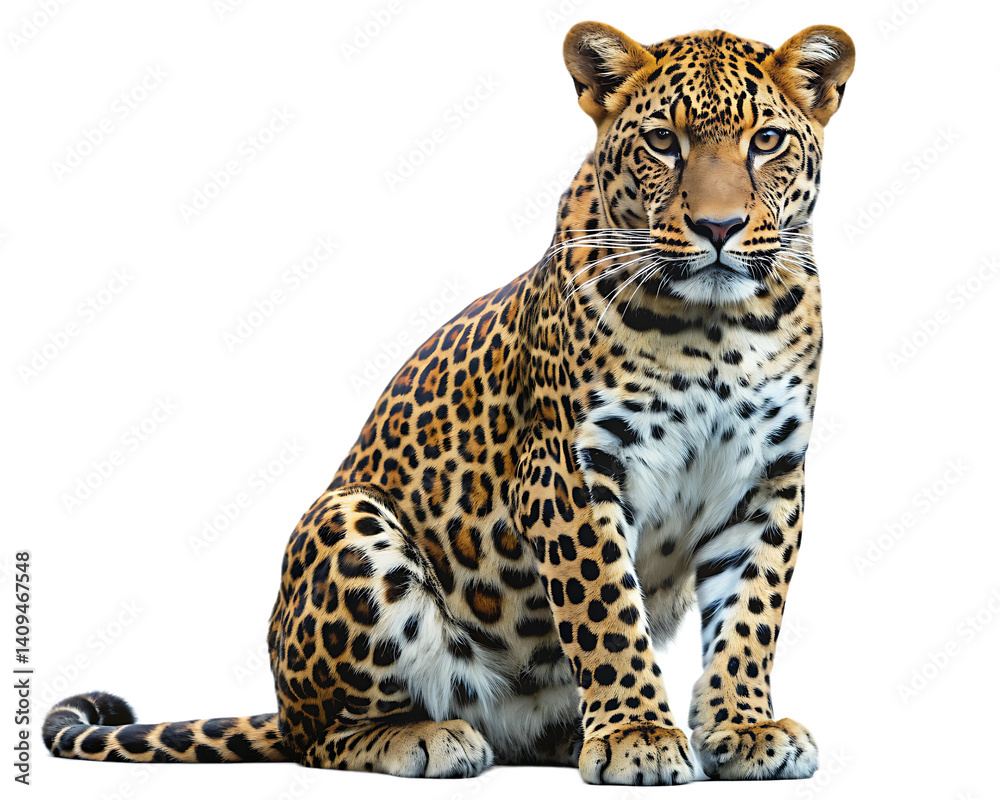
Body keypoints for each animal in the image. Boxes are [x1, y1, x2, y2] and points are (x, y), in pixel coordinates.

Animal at [44, 20, 855, 785]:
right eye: (663, 142)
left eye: (767, 142)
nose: (718, 228)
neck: (720, 328)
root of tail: (283, 701)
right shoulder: (572, 474)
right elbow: (606, 614)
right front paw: (638, 735)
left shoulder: (770, 480)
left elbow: (751, 614)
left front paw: (744, 728)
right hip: (348, 528)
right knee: (323, 737)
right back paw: (425, 736)